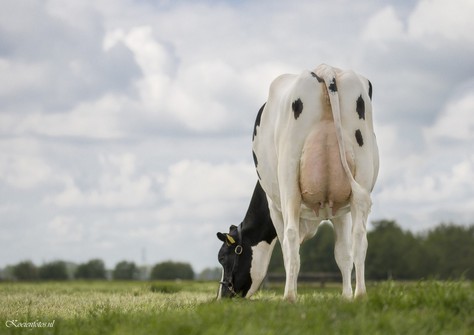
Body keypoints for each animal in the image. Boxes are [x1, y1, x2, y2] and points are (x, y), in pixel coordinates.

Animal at [218, 63, 378, 302]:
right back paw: (361, 295)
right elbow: (343, 253)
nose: (222, 296)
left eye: (223, 257)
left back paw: (289, 297)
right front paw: (347, 296)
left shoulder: (275, 206)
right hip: (361, 175)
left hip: (289, 178)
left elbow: (287, 248)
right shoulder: (340, 209)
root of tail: (326, 70)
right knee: (360, 236)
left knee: (291, 237)